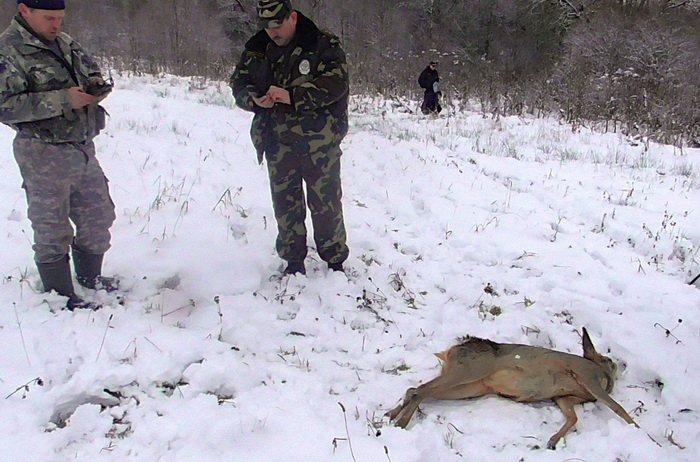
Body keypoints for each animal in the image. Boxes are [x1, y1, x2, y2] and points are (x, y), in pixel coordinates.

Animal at [388, 326, 640, 450]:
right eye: (609, 360)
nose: (621, 364)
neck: (601, 374)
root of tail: (453, 348)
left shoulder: (565, 397)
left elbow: (573, 417)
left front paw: (552, 441)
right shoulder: (588, 377)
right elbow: (617, 407)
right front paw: (638, 429)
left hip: (470, 386)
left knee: (416, 390)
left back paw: (391, 416)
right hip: (470, 370)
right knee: (421, 389)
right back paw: (400, 422)